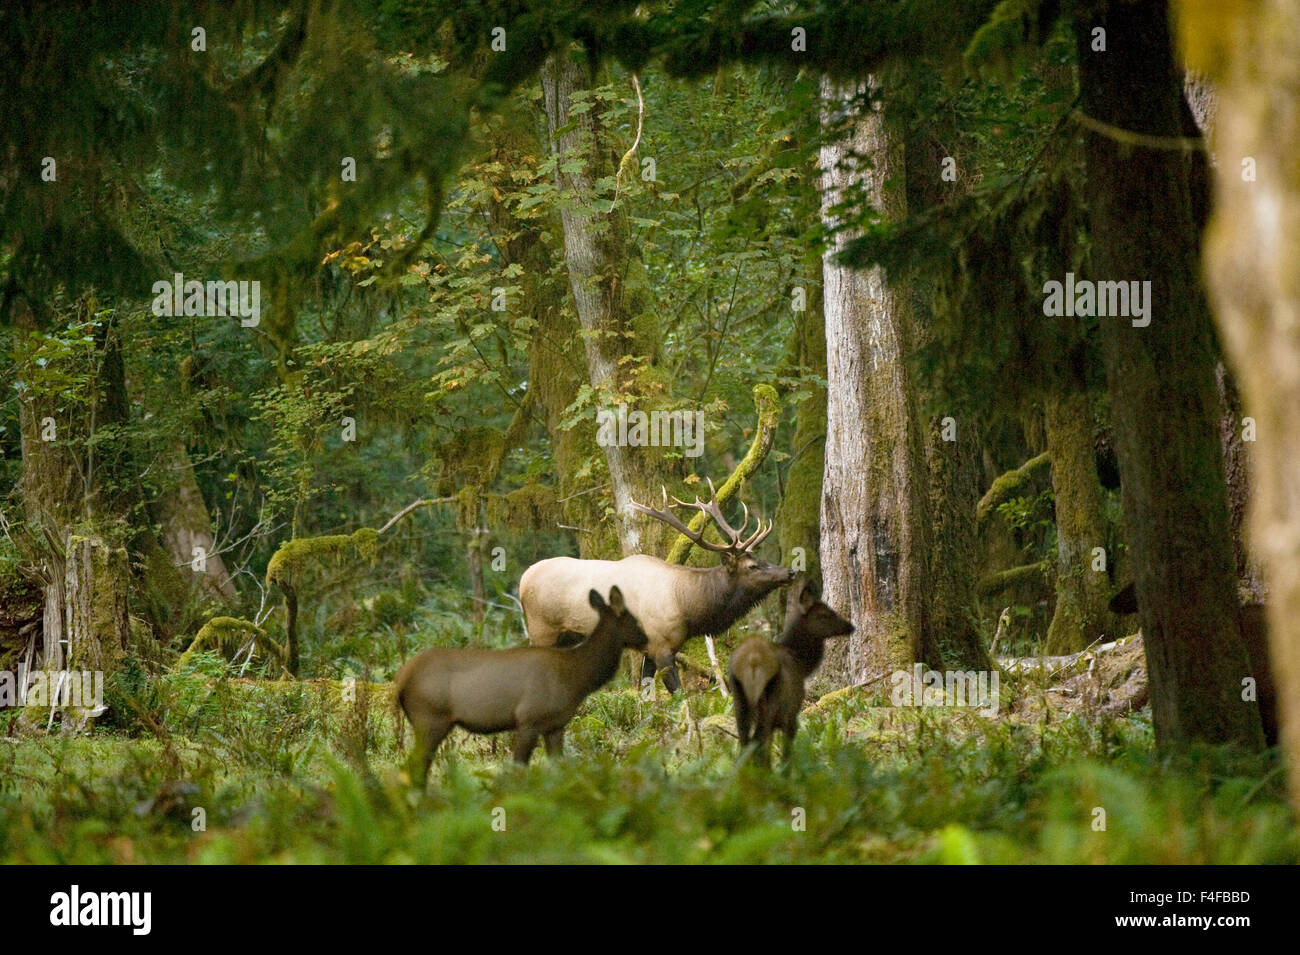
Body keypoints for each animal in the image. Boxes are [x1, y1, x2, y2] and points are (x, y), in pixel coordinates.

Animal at [390, 587, 644, 789]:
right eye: (636, 621)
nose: (646, 638)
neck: (577, 678)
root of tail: (401, 679)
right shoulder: (528, 719)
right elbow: (518, 769)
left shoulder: (555, 725)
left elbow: (559, 769)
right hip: (430, 718)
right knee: (414, 767)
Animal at [517, 480, 790, 691]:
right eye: (752, 566)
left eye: (761, 559)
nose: (790, 571)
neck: (688, 606)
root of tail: (522, 579)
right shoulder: (661, 645)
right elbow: (677, 693)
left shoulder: (652, 647)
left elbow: (646, 691)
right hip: (541, 629)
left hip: (567, 636)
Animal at [728, 574, 857, 769]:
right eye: (824, 614)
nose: (850, 626)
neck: (802, 664)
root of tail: (752, 660)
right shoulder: (791, 714)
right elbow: (785, 753)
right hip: (769, 702)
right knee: (757, 744)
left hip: (739, 700)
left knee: (745, 744)